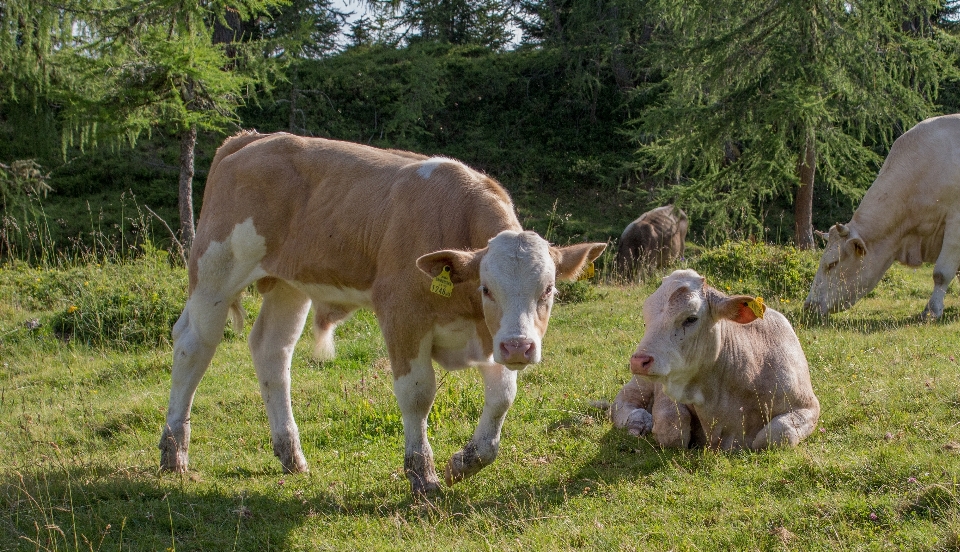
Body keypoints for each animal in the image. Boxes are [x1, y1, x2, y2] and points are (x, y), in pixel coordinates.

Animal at [160, 132, 604, 494]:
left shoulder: (491, 335)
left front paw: (464, 462)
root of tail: (249, 139)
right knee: (192, 346)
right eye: (486, 288)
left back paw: (291, 455)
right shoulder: (402, 316)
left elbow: (502, 398)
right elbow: (418, 394)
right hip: (215, 270)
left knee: (272, 350)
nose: (519, 347)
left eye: (548, 289)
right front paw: (422, 475)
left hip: (289, 284)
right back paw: (173, 453)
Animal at [612, 270, 820, 450]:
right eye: (647, 318)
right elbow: (672, 429)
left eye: (691, 318)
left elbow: (775, 435)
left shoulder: (808, 406)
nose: (639, 361)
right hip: (640, 383)